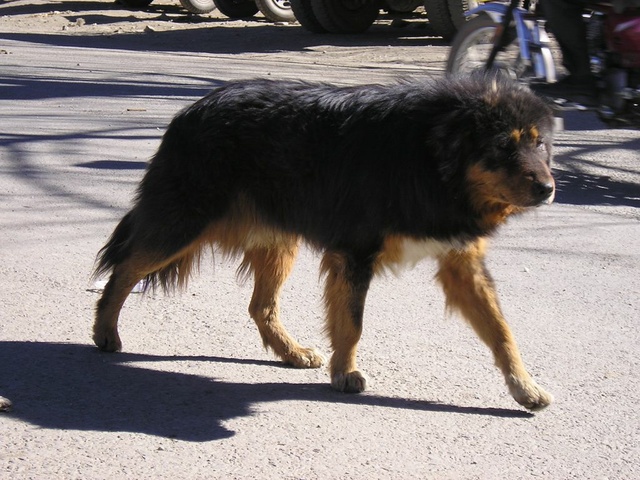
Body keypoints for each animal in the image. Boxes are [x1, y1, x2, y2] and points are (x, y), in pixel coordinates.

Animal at [94, 73, 556, 410]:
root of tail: (191, 110)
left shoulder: (463, 265)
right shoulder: (355, 254)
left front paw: (524, 386)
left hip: (278, 243)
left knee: (260, 306)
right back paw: (105, 332)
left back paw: (292, 352)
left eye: (540, 144)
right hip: (181, 226)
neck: (428, 157)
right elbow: (352, 323)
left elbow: (501, 331)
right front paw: (345, 374)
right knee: (123, 268)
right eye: (504, 146)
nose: (550, 189)